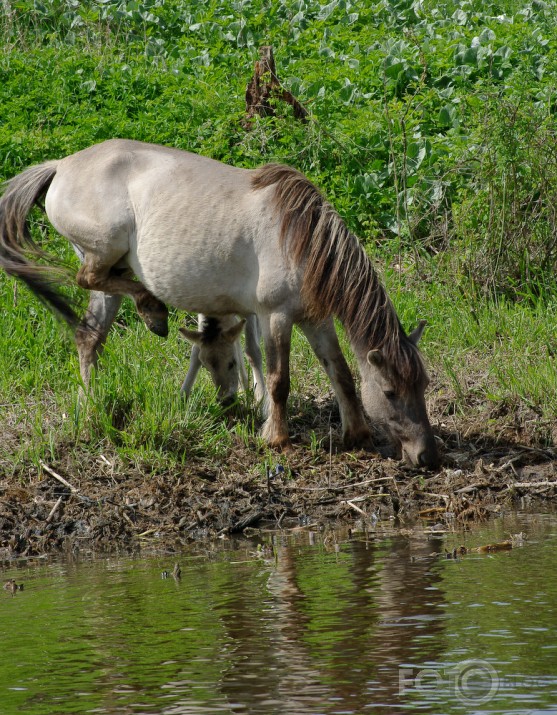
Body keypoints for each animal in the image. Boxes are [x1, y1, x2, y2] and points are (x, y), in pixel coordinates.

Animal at [0, 138, 438, 470]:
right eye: (389, 393)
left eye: (424, 384)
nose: (427, 457)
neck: (300, 238)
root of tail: (60, 165)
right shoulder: (275, 316)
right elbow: (279, 381)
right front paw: (276, 438)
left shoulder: (316, 320)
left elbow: (342, 373)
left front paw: (356, 434)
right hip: (103, 251)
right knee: (88, 282)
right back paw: (152, 309)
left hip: (109, 275)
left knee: (88, 336)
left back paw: (93, 408)